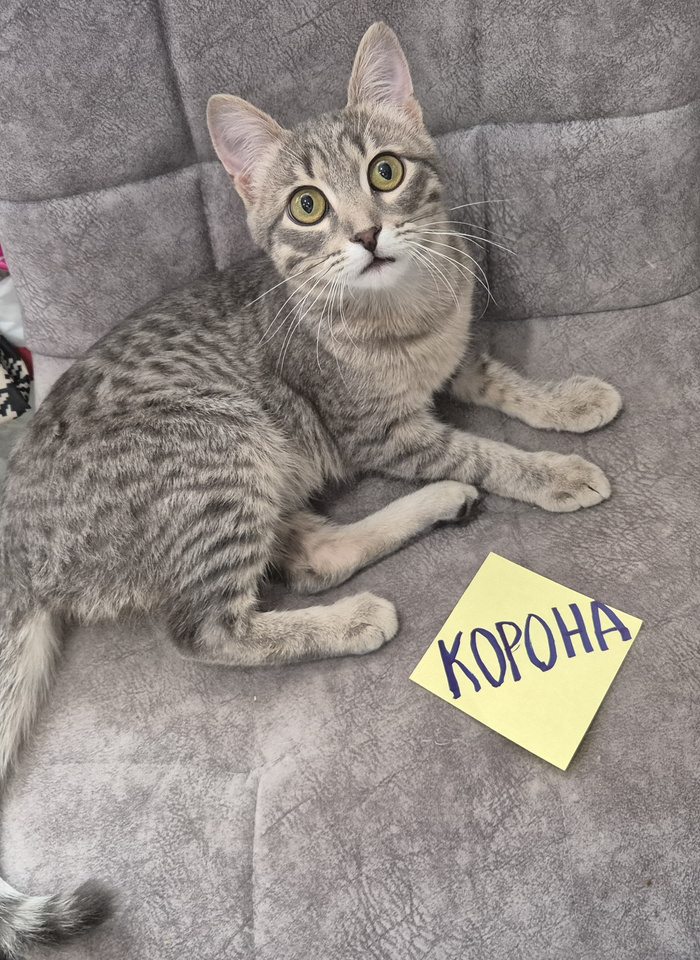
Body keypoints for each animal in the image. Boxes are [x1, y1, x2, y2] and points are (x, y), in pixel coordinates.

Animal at [0, 22, 621, 958]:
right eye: (305, 206)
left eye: (386, 173)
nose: (366, 234)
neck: (404, 317)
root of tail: (20, 541)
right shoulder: (384, 432)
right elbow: (484, 451)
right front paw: (548, 472)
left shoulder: (456, 360)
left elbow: (504, 384)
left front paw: (566, 402)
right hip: (220, 448)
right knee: (208, 628)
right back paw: (357, 614)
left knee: (309, 556)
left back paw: (430, 513)